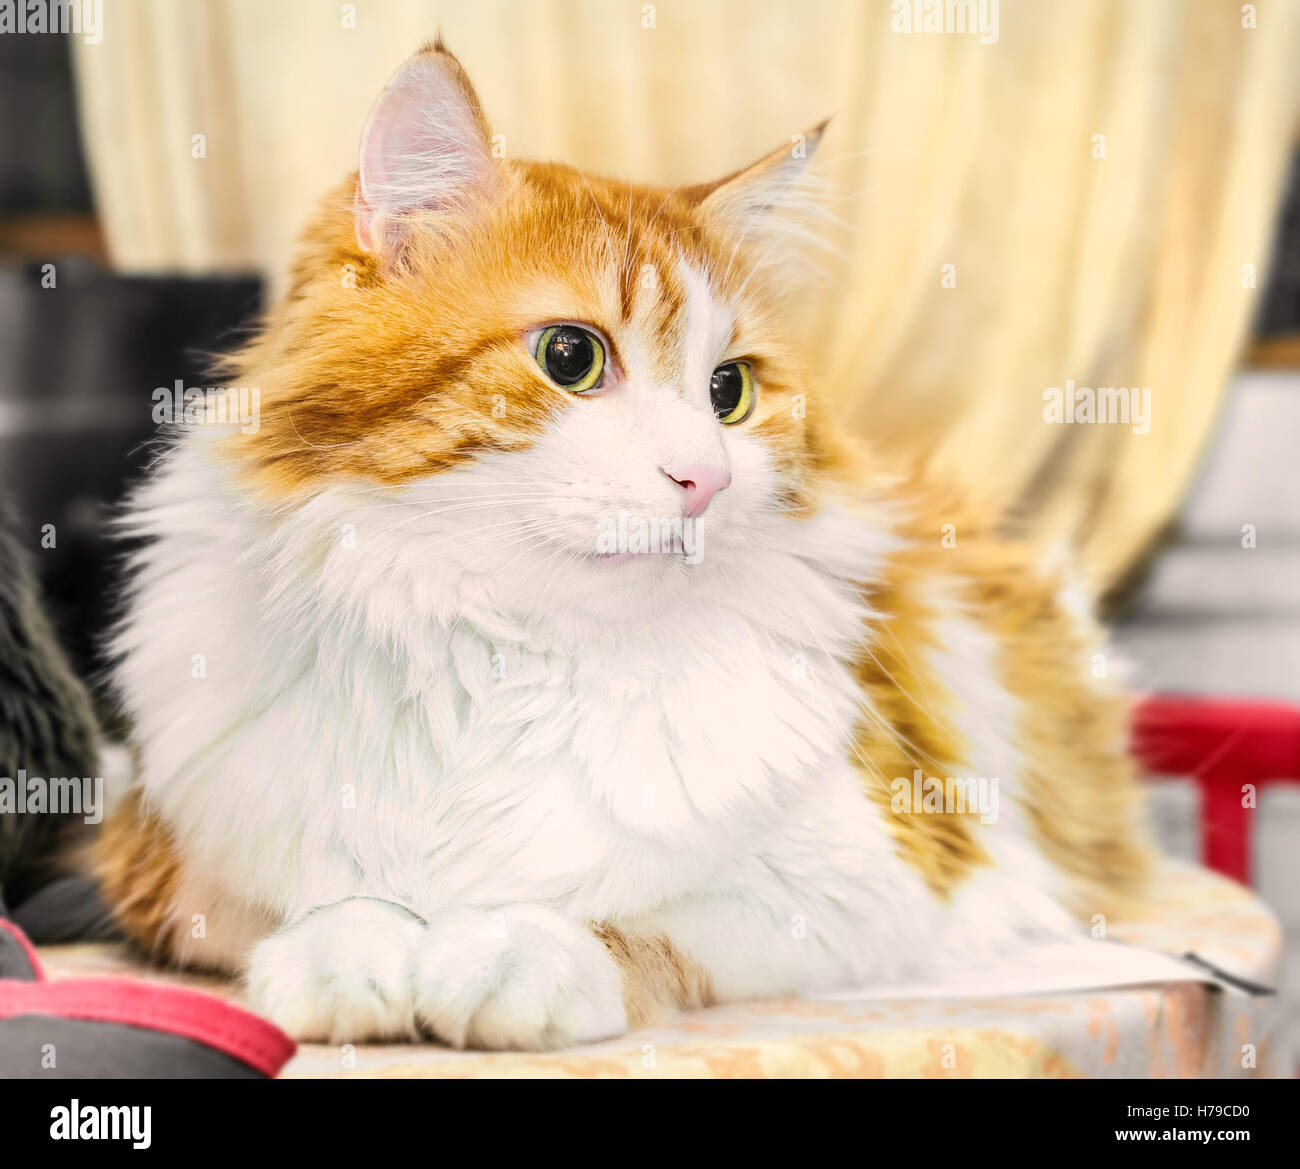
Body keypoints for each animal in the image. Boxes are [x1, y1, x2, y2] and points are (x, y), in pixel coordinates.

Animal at [96, 38, 1149, 1050]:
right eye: (571, 356)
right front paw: (350, 958)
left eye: (729, 391)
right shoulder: (162, 863)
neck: (511, 646)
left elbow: (634, 916)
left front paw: (516, 957)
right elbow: (331, 899)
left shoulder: (889, 877)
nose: (705, 479)